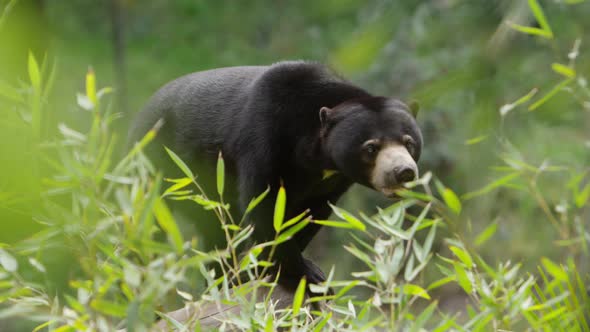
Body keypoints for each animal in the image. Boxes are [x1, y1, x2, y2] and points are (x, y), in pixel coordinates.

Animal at [128, 61, 426, 292]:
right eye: (371, 147)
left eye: (409, 143)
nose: (403, 172)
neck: (318, 158)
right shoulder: (265, 137)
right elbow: (265, 205)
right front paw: (303, 274)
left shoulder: (332, 181)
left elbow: (308, 214)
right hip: (156, 162)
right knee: (150, 223)